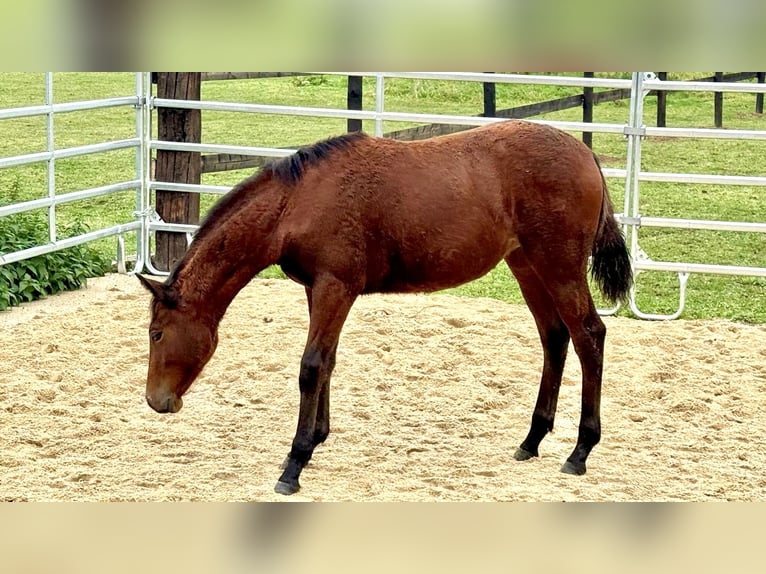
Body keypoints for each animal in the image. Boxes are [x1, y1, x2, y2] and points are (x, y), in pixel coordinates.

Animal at [137, 120, 633, 496]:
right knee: (555, 337)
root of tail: (585, 153)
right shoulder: (318, 289)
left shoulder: (335, 286)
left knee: (589, 336)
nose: (156, 402)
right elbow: (328, 362)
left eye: (156, 333)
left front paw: (294, 463)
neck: (297, 204)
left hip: (559, 267)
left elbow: (311, 366)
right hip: (527, 264)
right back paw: (531, 440)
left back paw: (580, 451)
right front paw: (316, 440)